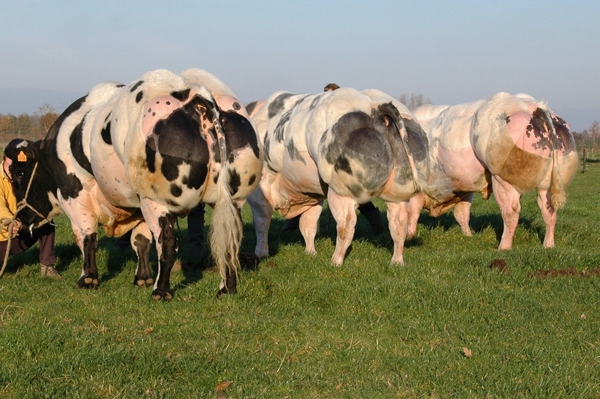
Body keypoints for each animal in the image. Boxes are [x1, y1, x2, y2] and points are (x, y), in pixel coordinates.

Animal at [4, 69, 262, 300]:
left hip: (157, 200)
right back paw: (226, 289)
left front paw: (88, 279)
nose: (20, 219)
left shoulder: (75, 194)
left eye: (19, 174)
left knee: (168, 243)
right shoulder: (138, 204)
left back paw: (161, 291)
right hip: (231, 200)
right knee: (230, 240)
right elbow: (140, 240)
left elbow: (86, 237)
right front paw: (142, 278)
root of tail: (195, 94)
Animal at [245, 87, 450, 266]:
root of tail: (377, 107)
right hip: (398, 192)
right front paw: (310, 253)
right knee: (399, 223)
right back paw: (397, 261)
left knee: (347, 223)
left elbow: (262, 222)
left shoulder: (260, 191)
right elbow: (309, 224)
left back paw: (336, 261)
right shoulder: (313, 195)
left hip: (341, 190)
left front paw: (261, 253)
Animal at [408, 93, 576, 250]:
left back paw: (503, 247)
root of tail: (536, 106)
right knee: (549, 210)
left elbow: (412, 213)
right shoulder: (465, 186)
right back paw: (548, 245)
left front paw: (410, 238)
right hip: (546, 184)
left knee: (511, 212)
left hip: (502, 179)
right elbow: (462, 213)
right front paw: (468, 236)